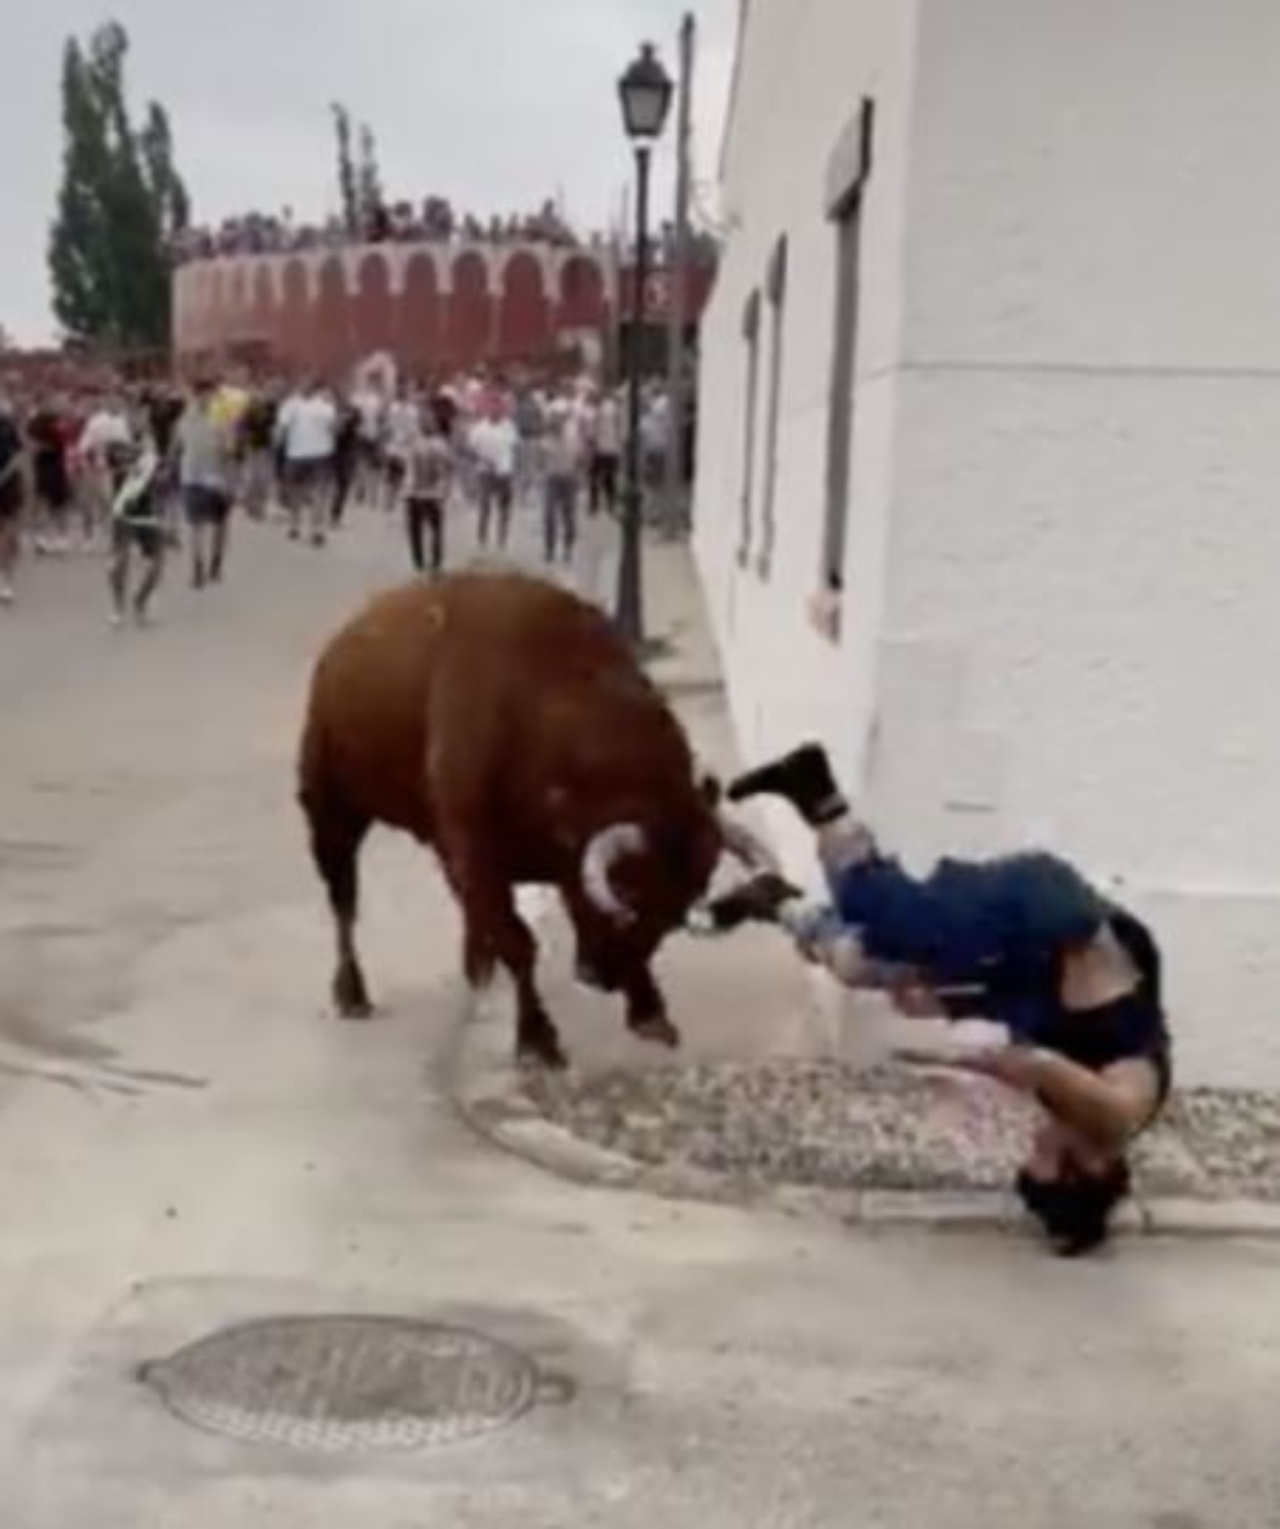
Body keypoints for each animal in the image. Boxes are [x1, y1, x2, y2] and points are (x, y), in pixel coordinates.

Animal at [295, 568, 764, 1070]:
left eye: (680, 905)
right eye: (627, 892)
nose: (600, 976)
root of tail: (342, 645)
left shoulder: (521, 861)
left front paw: (651, 1014)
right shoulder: (478, 855)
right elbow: (519, 944)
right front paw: (539, 1040)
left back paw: (475, 965)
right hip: (331, 815)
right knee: (344, 902)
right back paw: (352, 993)